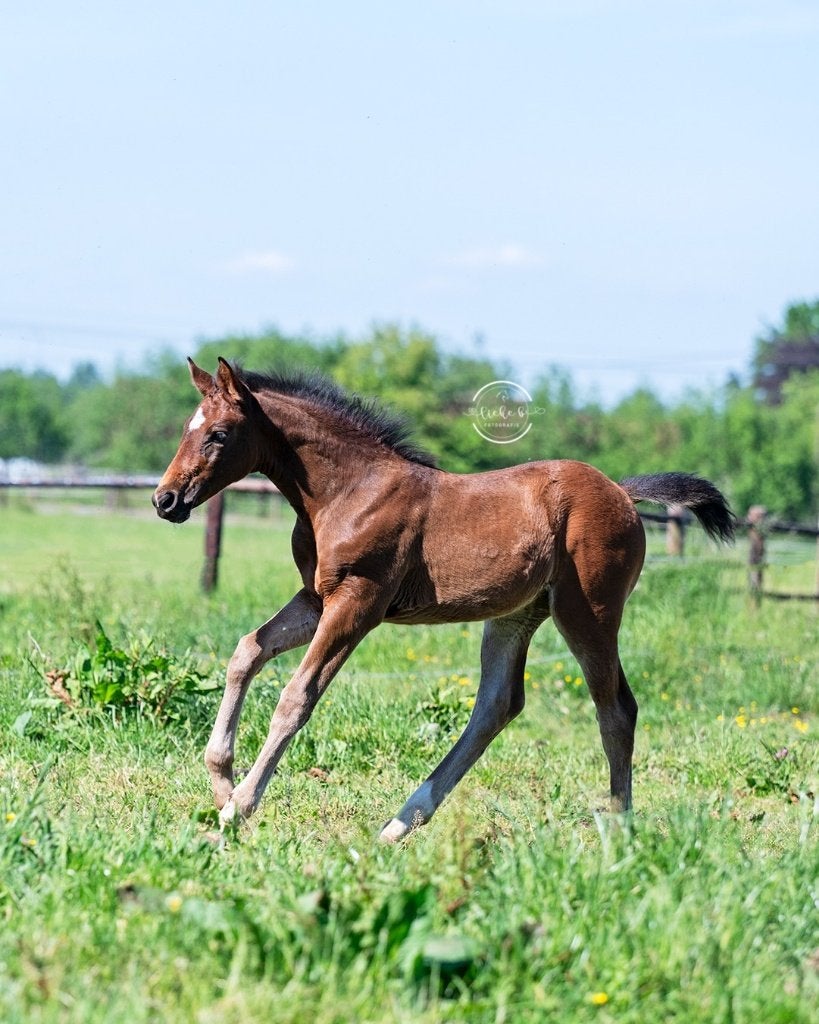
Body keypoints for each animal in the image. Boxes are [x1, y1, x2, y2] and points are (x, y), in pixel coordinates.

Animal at [153, 357, 734, 841]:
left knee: (616, 709)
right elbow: (247, 651)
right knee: (497, 705)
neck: (349, 491)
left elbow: (296, 697)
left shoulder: (358, 603)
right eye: (186, 430)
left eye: (219, 435)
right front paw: (221, 781)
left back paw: (619, 830)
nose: (165, 500)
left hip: (588, 613)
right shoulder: (317, 598)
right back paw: (400, 823)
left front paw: (239, 809)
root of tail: (622, 492)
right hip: (517, 615)